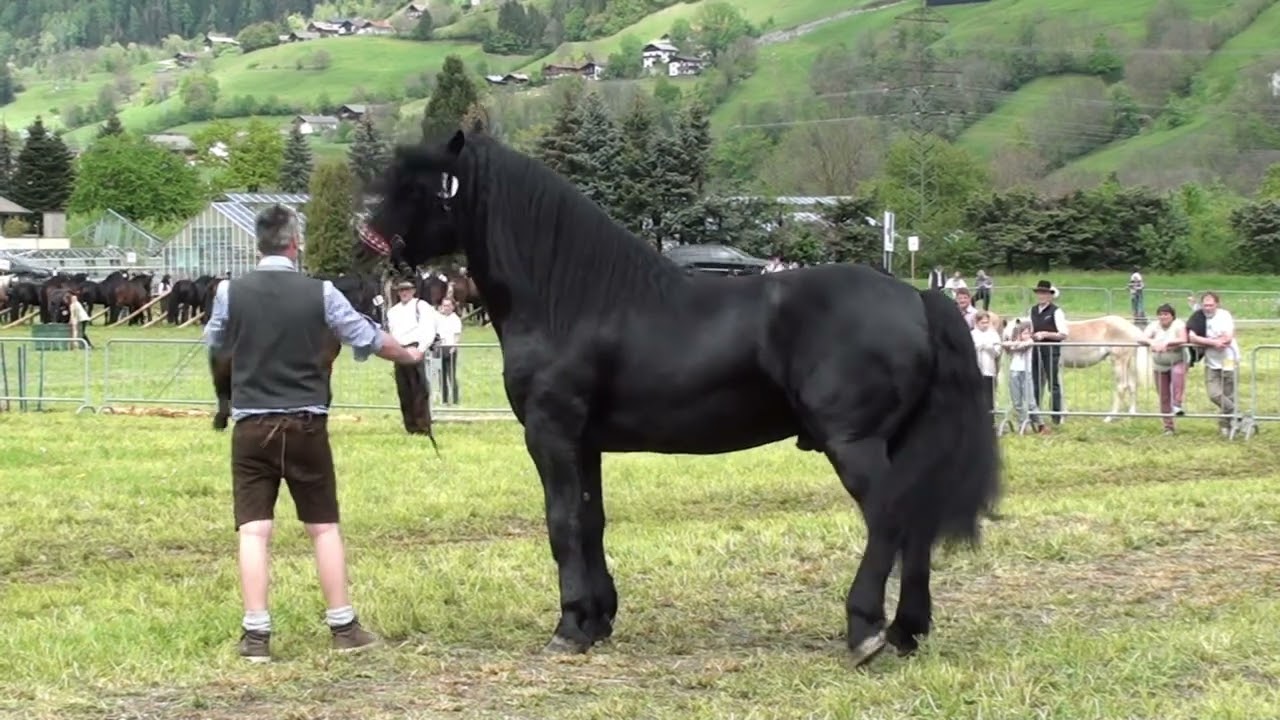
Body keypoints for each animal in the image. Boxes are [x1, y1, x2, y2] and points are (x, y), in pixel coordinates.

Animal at [352, 130, 1001, 667]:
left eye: (416, 186)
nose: (365, 244)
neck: (573, 298)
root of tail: (917, 297)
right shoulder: (585, 443)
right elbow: (591, 521)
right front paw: (597, 620)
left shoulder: (550, 433)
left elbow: (561, 523)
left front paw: (568, 627)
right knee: (915, 518)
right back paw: (907, 632)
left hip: (855, 443)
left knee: (889, 515)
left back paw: (865, 630)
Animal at [1000, 314, 1151, 422]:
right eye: (1005, 336)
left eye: (1014, 333)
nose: (1007, 350)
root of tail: (1132, 328)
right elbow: (1040, 389)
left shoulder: (1057, 367)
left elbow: (1059, 390)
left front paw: (1061, 417)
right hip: (1128, 362)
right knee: (1132, 386)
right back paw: (1131, 416)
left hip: (1118, 362)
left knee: (1122, 387)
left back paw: (1109, 418)